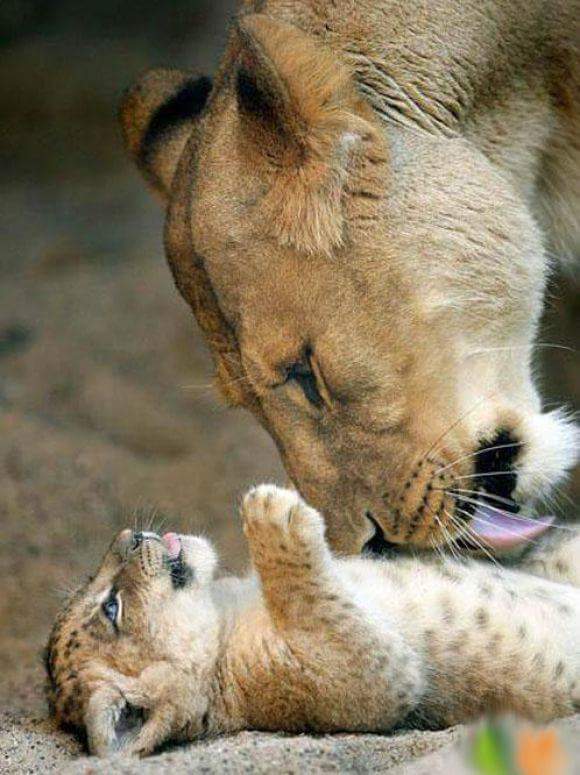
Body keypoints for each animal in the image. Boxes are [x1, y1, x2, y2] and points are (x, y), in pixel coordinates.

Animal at [45, 486, 580, 757]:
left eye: (101, 592)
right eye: (111, 608)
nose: (129, 535)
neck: (225, 608)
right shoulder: (368, 683)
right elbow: (320, 607)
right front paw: (268, 511)